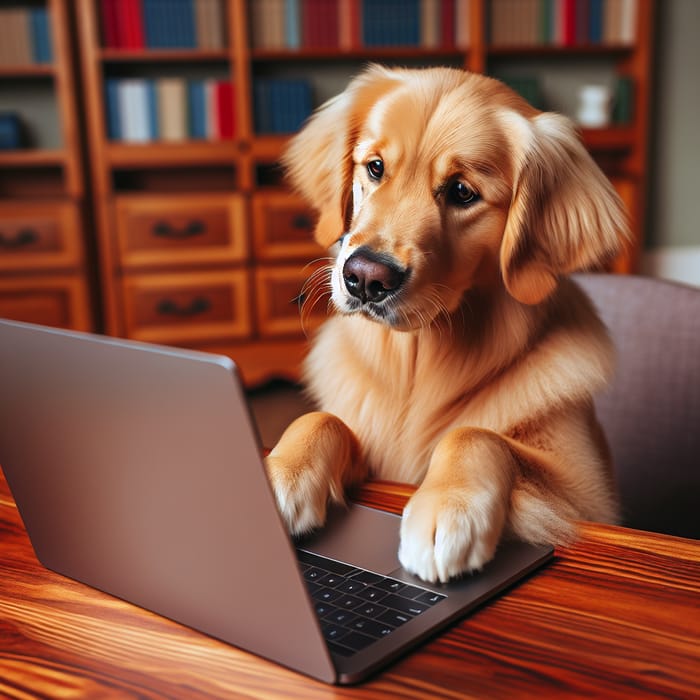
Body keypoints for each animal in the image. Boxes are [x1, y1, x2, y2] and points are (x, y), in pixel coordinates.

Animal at [266, 65, 628, 584]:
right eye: (375, 168)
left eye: (462, 192)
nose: (365, 278)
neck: (419, 360)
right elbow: (320, 418)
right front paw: (278, 473)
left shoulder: (588, 497)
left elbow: (476, 433)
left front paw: (447, 511)